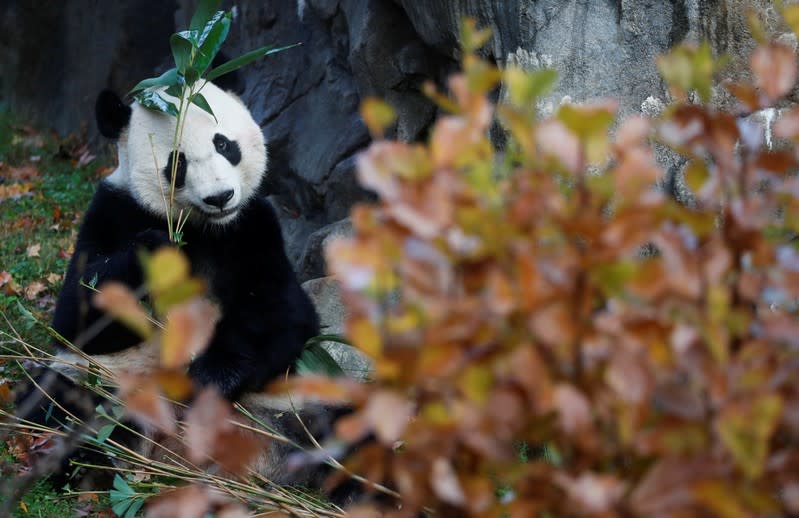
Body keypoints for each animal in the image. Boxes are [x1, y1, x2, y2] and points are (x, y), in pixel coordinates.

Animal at [16, 79, 334, 490]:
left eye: (224, 144)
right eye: (178, 163)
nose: (220, 197)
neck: (202, 228)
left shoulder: (254, 227)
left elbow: (284, 314)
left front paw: (210, 377)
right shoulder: (112, 210)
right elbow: (76, 315)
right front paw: (156, 249)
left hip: (288, 400)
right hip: (107, 382)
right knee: (55, 402)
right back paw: (87, 464)